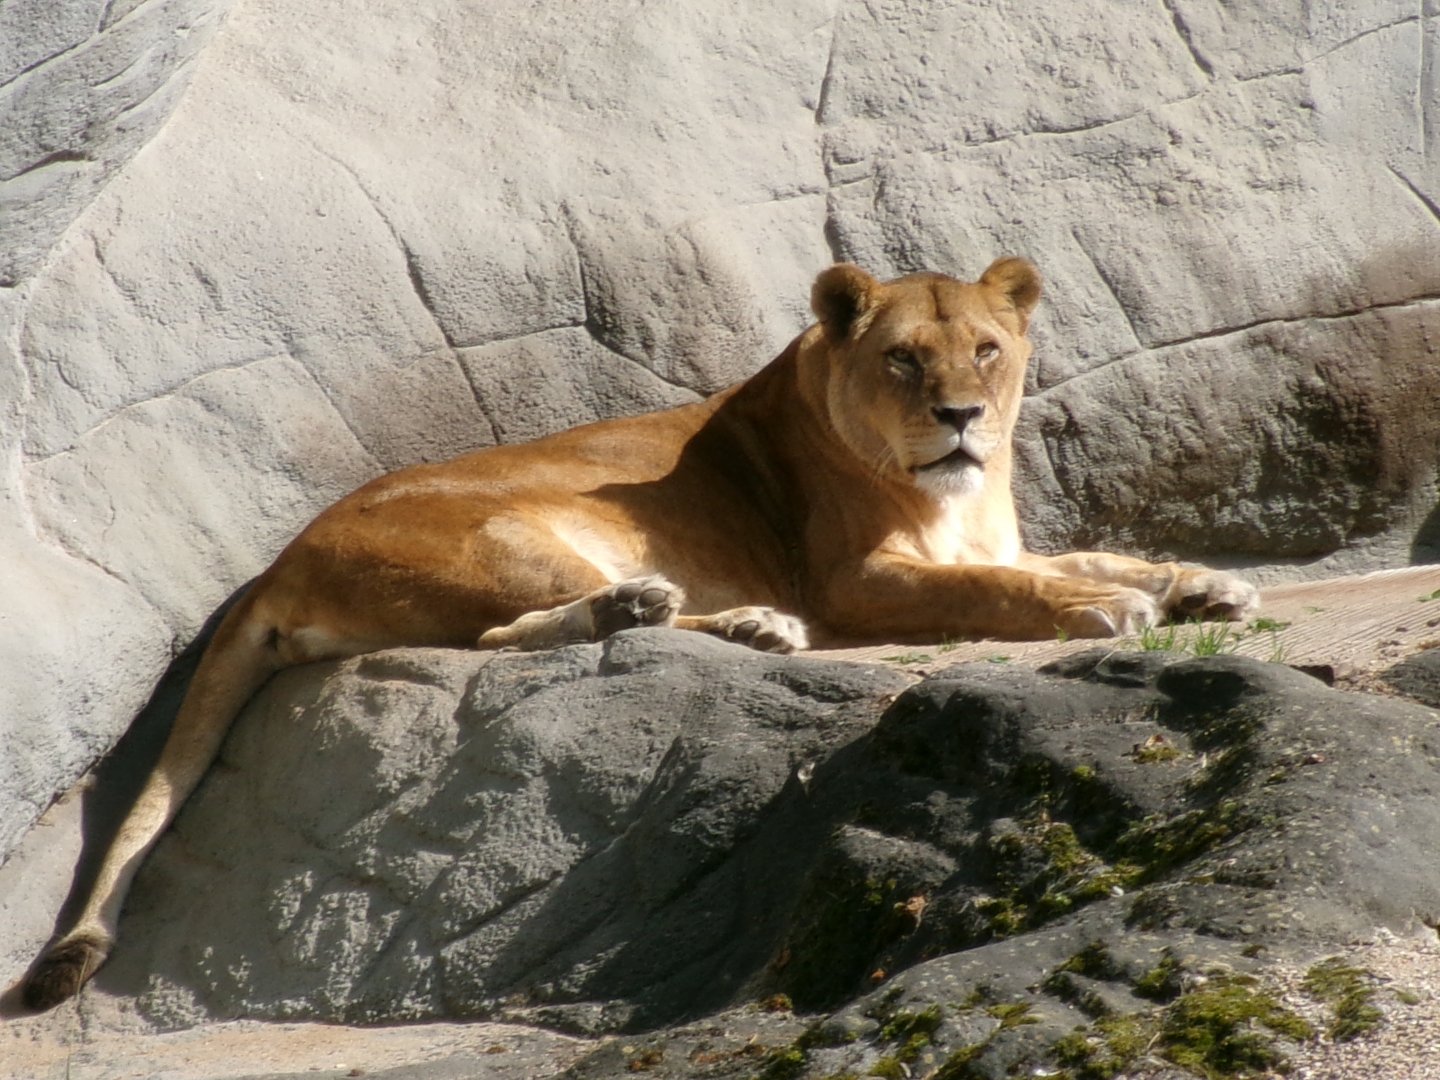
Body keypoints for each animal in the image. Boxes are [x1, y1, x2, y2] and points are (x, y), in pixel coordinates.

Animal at [22, 256, 1257, 1008]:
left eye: (987, 352)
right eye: (904, 358)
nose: (959, 418)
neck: (955, 491)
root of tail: (274, 565)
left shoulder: (989, 543)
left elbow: (1092, 555)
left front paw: (1201, 587)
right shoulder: (859, 581)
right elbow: (1011, 593)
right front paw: (1107, 612)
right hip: (523, 527)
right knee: (512, 634)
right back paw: (709, 617)